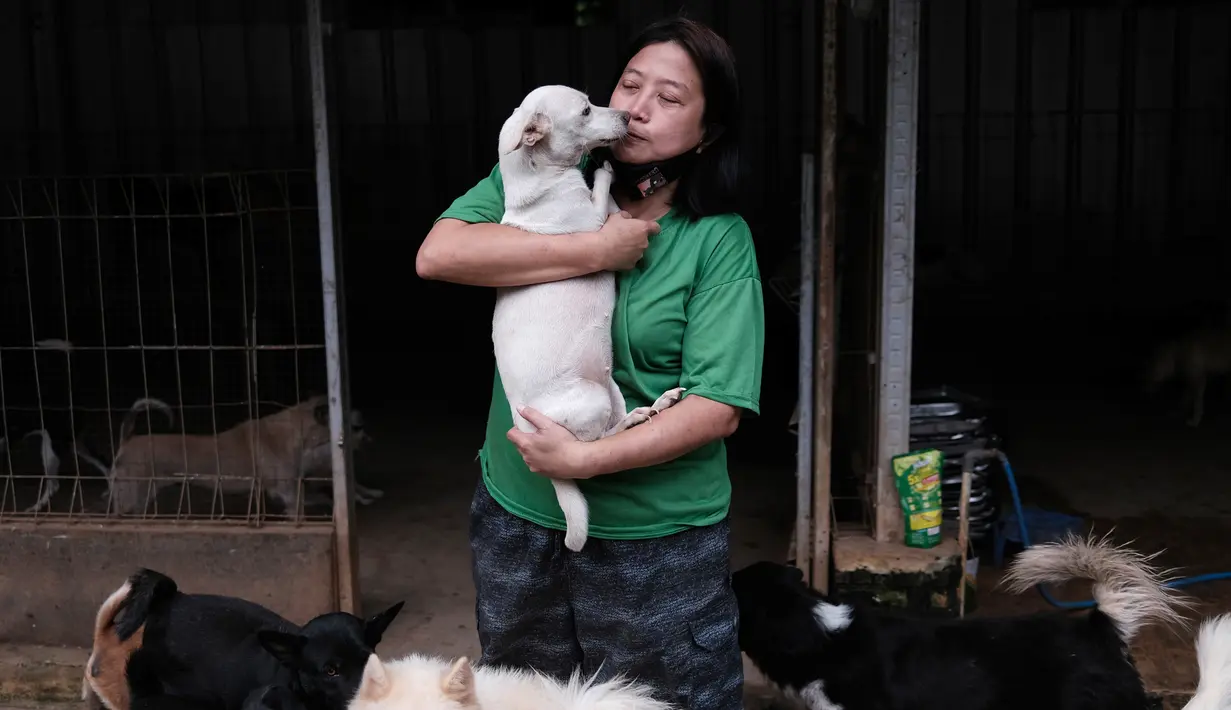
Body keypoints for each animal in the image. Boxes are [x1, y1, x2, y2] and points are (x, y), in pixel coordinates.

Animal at [494, 81, 689, 548]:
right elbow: (605, 201)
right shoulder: (597, 222)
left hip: (609, 388)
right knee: (591, 447)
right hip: (592, 400)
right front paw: (601, 175)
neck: (541, 186)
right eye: (585, 111)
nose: (627, 115)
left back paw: (649, 410)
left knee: (611, 433)